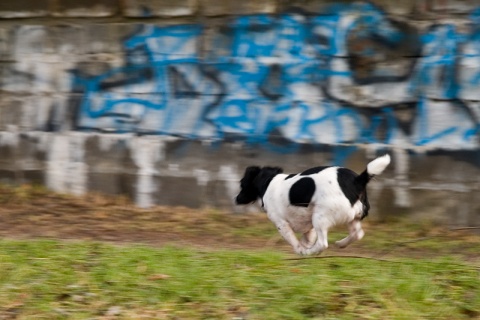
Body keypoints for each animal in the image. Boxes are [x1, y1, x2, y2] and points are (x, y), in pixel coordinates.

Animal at [235, 155, 390, 255]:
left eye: (242, 183)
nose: (236, 199)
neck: (269, 181)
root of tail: (357, 180)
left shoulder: (282, 225)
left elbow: (295, 242)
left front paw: (302, 251)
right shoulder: (308, 225)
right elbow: (307, 238)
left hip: (320, 218)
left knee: (322, 244)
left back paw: (310, 252)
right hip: (352, 218)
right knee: (357, 234)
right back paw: (340, 244)